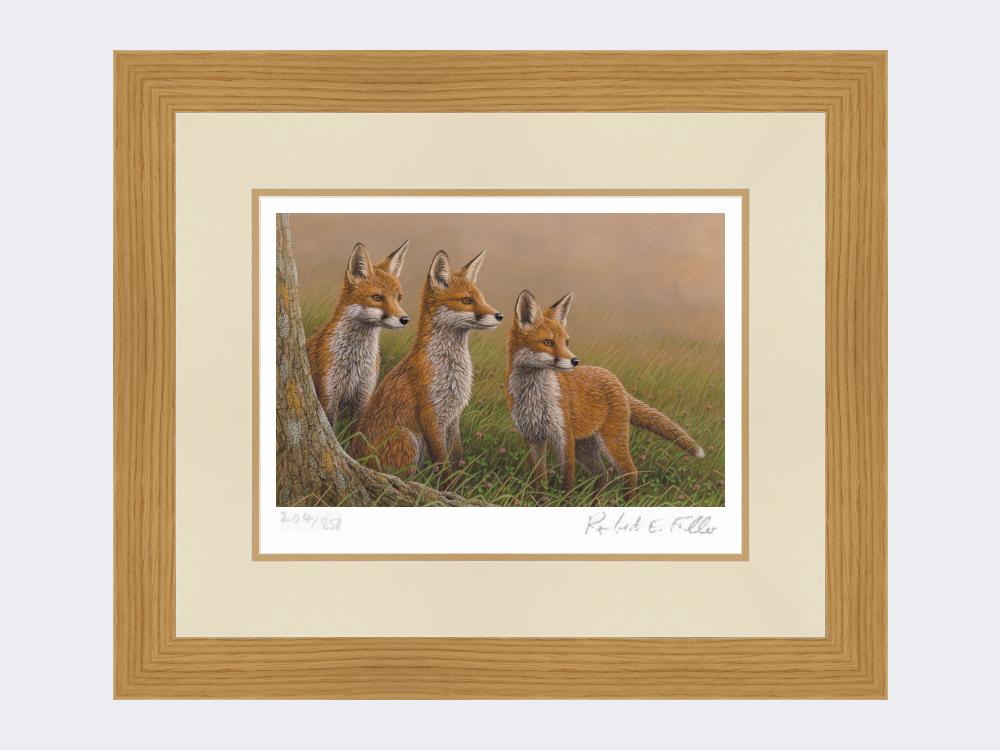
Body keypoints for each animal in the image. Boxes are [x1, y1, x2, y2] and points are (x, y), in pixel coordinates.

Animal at [306, 240, 410, 434]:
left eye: (398, 298)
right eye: (377, 297)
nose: (405, 319)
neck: (355, 360)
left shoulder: (363, 395)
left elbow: (357, 433)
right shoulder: (329, 394)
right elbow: (332, 430)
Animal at [353, 249, 503, 474]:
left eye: (482, 299)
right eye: (466, 301)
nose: (499, 315)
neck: (450, 368)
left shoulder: (453, 417)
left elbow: (457, 458)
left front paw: (459, 480)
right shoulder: (430, 414)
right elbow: (443, 463)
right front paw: (447, 482)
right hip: (406, 437)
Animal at [505, 289, 704, 497]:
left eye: (566, 342)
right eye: (548, 342)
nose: (575, 361)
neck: (534, 396)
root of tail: (614, 379)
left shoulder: (563, 436)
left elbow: (567, 481)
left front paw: (564, 501)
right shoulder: (533, 437)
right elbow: (539, 480)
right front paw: (541, 500)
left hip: (611, 442)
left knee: (630, 473)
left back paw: (626, 501)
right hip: (585, 447)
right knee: (603, 474)